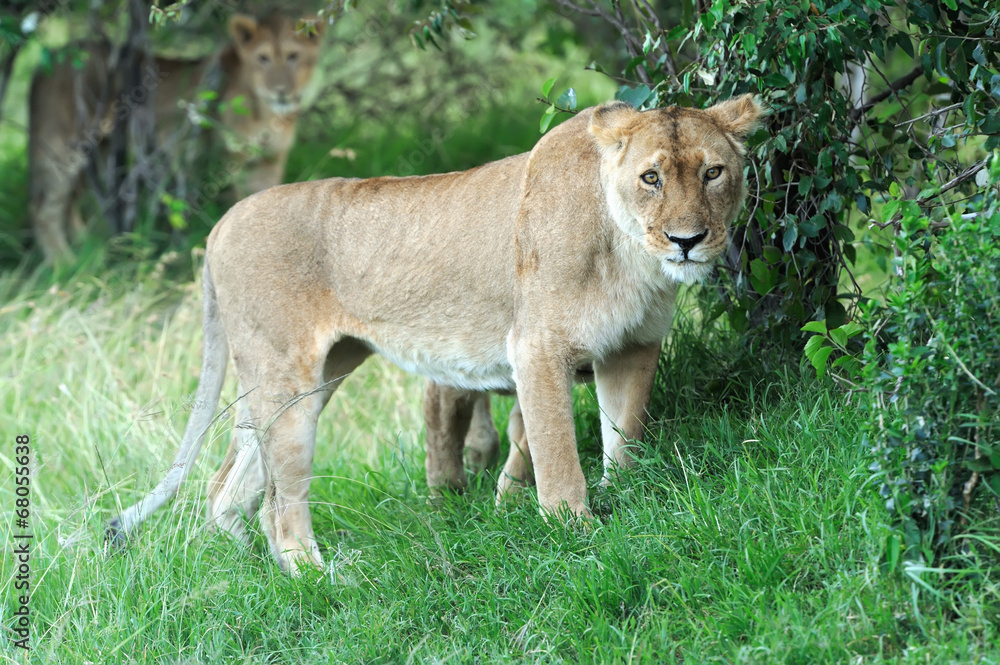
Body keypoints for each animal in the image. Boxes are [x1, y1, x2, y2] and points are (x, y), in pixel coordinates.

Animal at [28, 12, 323, 263]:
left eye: (294, 56)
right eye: (263, 58)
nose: (281, 91)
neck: (267, 112)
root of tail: (48, 61)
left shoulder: (270, 160)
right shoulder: (231, 158)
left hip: (97, 151)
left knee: (68, 204)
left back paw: (89, 249)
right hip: (65, 149)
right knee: (43, 210)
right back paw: (65, 264)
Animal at [108, 96, 763, 573]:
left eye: (713, 172)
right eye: (650, 177)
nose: (686, 240)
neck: (631, 256)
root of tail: (220, 224)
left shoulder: (634, 348)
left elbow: (623, 437)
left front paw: (625, 502)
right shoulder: (536, 349)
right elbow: (555, 455)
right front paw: (575, 533)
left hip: (304, 378)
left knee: (228, 487)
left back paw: (247, 571)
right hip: (285, 381)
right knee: (281, 504)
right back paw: (321, 578)